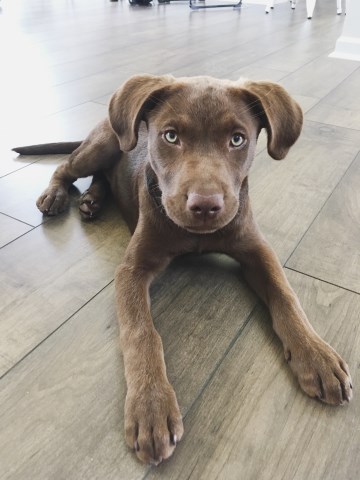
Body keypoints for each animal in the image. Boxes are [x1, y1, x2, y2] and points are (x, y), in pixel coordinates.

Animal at [13, 75, 352, 464]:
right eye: (171, 136)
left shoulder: (256, 249)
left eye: (238, 139)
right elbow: (141, 332)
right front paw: (151, 405)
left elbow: (286, 296)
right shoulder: (132, 269)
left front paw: (316, 354)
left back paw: (93, 200)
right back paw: (58, 195)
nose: (204, 206)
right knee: (69, 168)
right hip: (103, 145)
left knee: (102, 178)